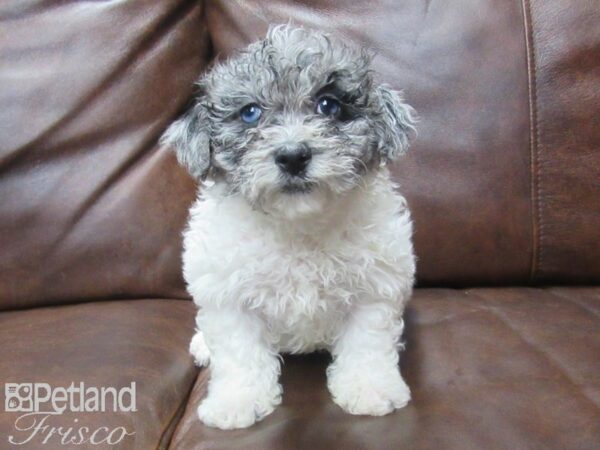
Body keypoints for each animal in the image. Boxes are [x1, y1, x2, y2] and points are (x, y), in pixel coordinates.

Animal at [163, 23, 418, 428]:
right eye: (250, 113)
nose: (293, 155)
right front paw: (237, 402)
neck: (297, 224)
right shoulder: (229, 296)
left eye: (329, 105)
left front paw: (369, 389)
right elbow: (239, 354)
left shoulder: (375, 289)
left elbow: (367, 344)